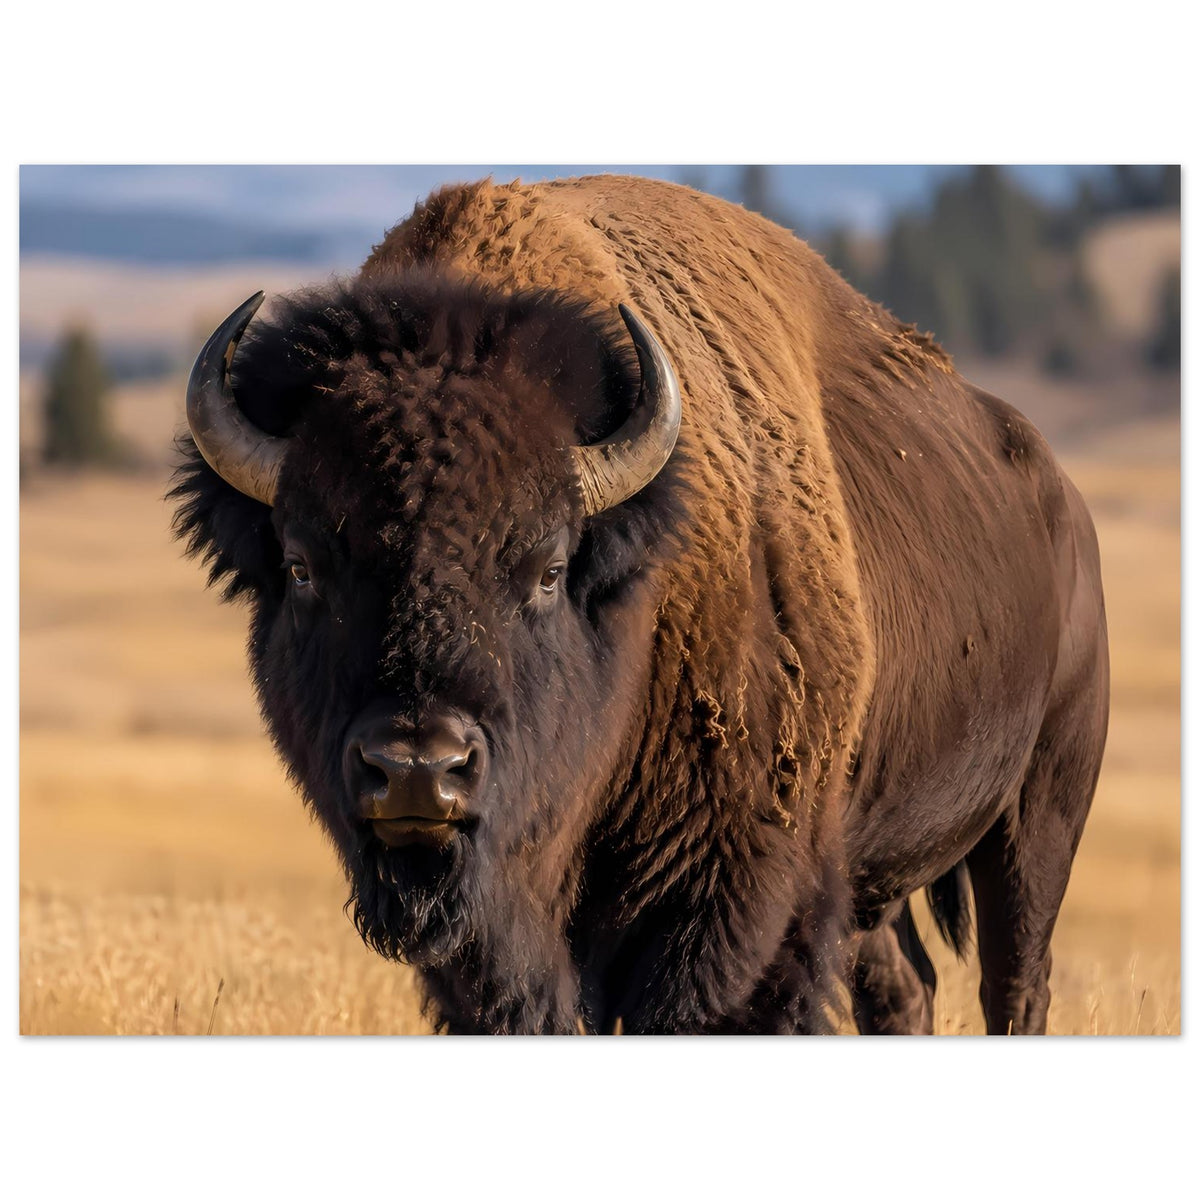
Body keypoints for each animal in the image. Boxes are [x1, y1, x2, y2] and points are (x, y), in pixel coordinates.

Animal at [172, 175, 1108, 1034]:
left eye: (547, 568)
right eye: (301, 567)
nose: (416, 768)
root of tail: (1063, 501)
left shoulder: (729, 907)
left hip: (1038, 815)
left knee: (1015, 981)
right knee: (903, 985)